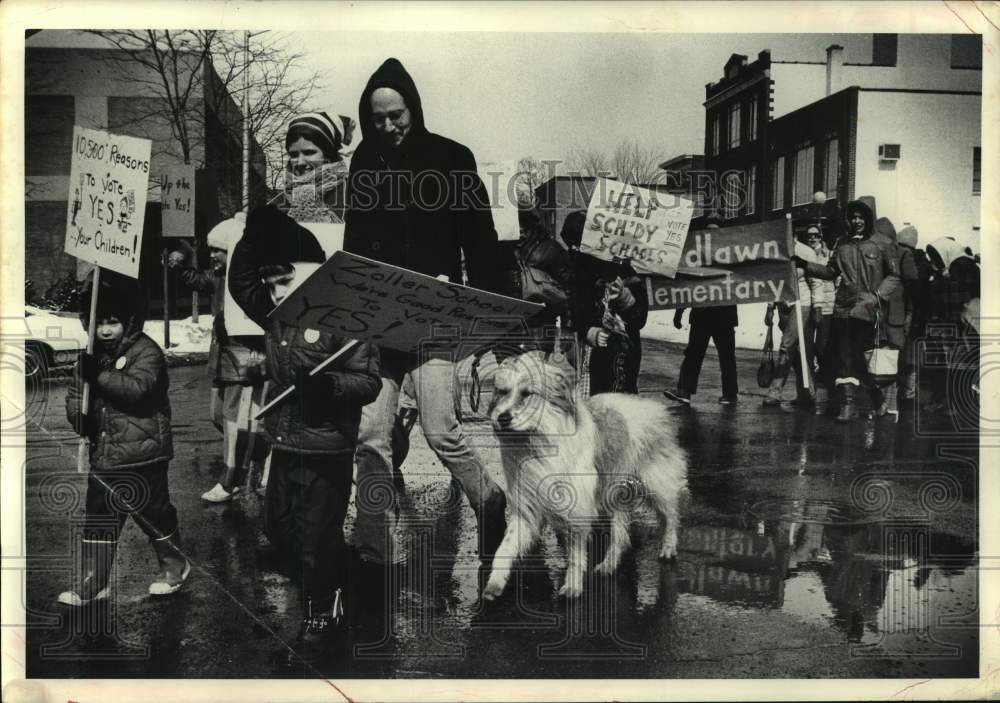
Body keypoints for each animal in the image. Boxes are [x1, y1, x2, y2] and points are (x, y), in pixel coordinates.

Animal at [484, 352, 688, 600]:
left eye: (527, 393)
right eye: (502, 392)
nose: (502, 418)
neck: (536, 443)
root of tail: (654, 408)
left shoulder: (576, 508)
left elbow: (575, 554)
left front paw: (572, 586)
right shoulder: (526, 506)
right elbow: (505, 547)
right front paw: (494, 584)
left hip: (655, 482)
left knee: (671, 515)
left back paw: (668, 546)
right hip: (615, 493)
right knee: (620, 535)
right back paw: (609, 564)